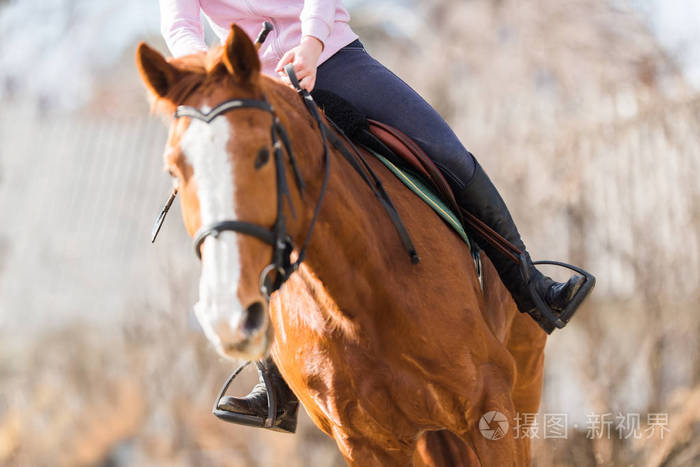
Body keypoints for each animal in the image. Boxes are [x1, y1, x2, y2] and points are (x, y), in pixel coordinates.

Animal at [135, 26, 548, 467]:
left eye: (263, 154)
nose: (225, 315)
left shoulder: (491, 409)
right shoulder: (366, 443)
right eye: (175, 171)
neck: (356, 298)